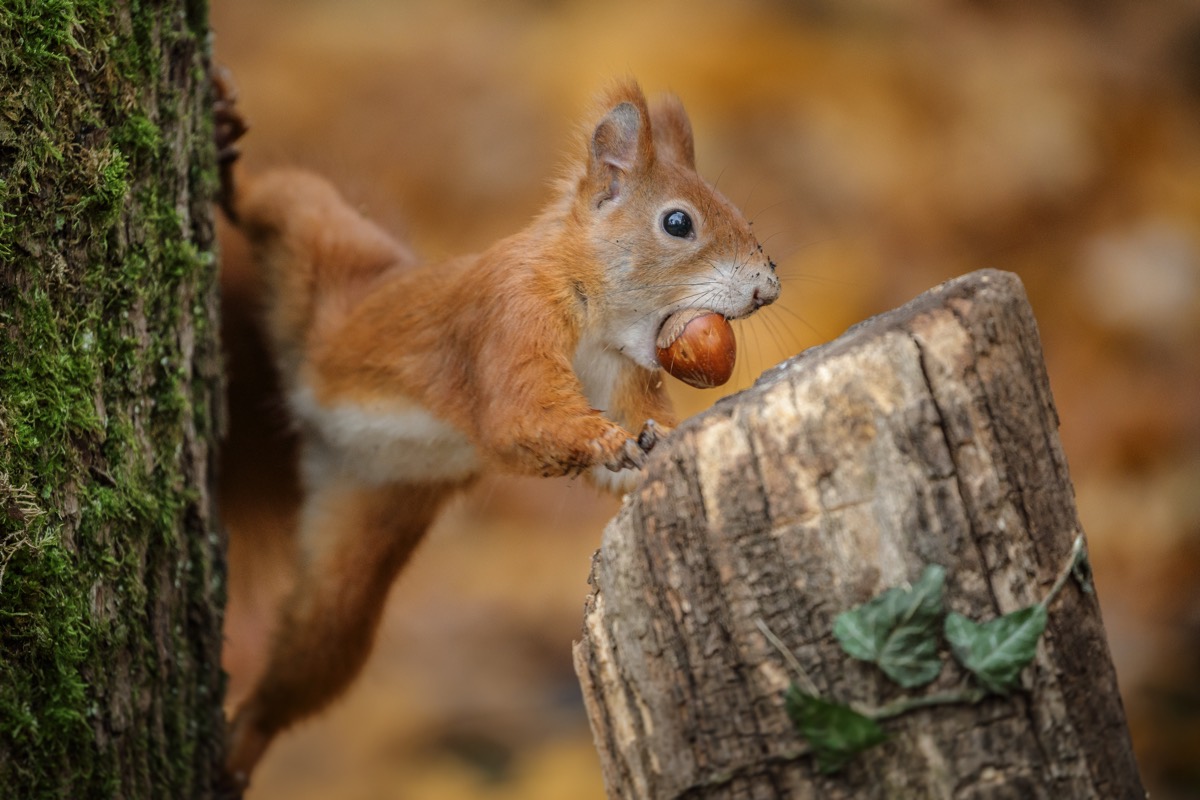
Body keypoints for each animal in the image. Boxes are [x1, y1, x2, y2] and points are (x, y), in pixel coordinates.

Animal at [212, 73, 782, 786]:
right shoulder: (510, 316)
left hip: (363, 539)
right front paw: (613, 441)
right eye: (678, 223)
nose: (767, 288)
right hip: (328, 246)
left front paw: (657, 446)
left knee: (310, 657)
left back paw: (244, 744)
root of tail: (303, 414)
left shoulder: (619, 376)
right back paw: (224, 148)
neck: (594, 314)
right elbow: (518, 415)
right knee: (279, 197)